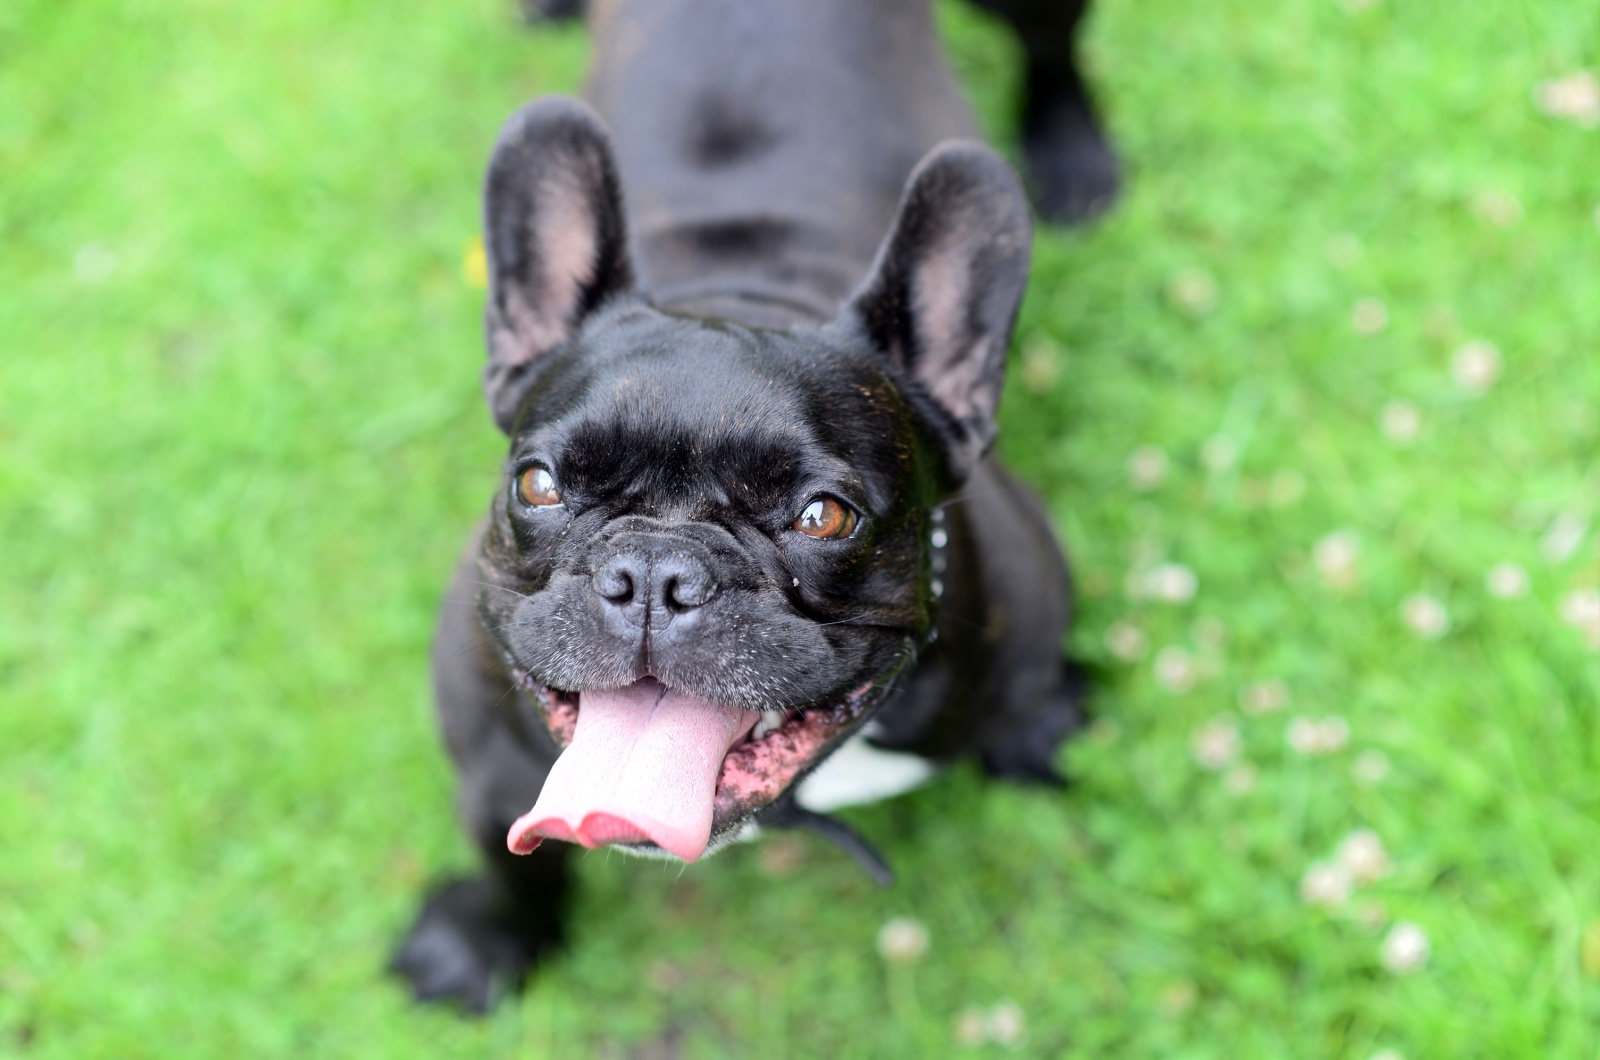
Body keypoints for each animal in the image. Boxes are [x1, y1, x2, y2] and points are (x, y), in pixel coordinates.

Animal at [392, 0, 1107, 1011]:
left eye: (824, 516)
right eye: (539, 484)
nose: (655, 573)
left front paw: (1044, 719)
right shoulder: (492, 769)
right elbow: (509, 863)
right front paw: (484, 944)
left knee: (1052, 48)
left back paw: (1073, 153)